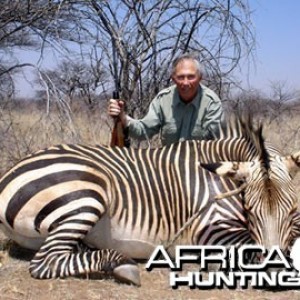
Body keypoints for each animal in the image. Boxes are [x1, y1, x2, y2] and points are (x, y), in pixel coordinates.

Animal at [0, 115, 298, 286]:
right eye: (250, 210)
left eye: (292, 210)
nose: (275, 271)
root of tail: (9, 174)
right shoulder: (211, 231)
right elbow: (252, 247)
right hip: (87, 195)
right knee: (44, 262)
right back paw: (125, 266)